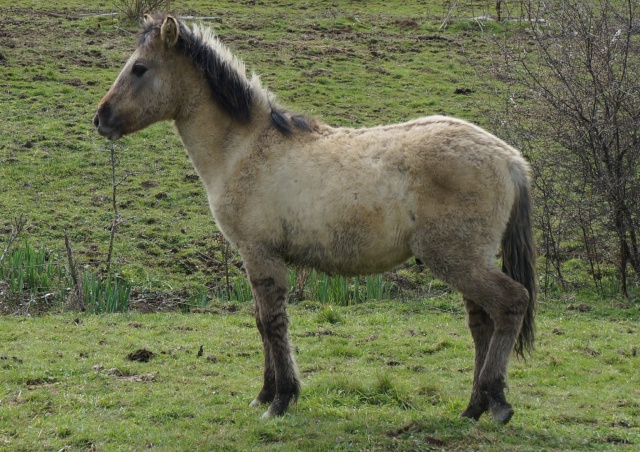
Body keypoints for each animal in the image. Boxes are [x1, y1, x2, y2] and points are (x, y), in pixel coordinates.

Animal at [94, 14, 536, 424]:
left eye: (139, 68)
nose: (100, 118)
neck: (244, 149)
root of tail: (509, 158)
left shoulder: (260, 253)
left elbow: (273, 323)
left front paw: (280, 400)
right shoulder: (256, 257)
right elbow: (261, 322)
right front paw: (265, 393)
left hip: (456, 258)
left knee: (511, 303)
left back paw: (497, 401)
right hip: (466, 260)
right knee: (481, 323)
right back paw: (472, 408)